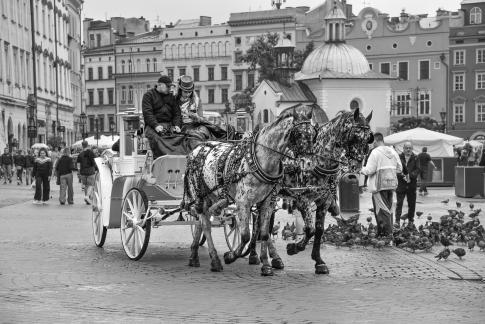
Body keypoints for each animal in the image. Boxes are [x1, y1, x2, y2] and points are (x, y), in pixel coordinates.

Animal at [181, 109, 314, 276]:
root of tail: (197, 148)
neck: (261, 160)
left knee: (200, 221)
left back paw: (194, 256)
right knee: (205, 224)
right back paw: (215, 260)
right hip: (199, 196)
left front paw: (267, 265)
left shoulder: (269, 202)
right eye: (298, 133)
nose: (308, 163)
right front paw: (231, 256)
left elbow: (264, 233)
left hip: (210, 196)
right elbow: (245, 235)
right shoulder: (243, 202)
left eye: (313, 133)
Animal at [246, 108, 374, 274]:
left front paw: (319, 261)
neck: (319, 161)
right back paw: (254, 255)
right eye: (355, 135)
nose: (357, 166)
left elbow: (319, 230)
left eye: (369, 137)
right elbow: (310, 229)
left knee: (265, 225)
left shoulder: (324, 201)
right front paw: (294, 248)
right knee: (257, 223)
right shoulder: (303, 200)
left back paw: (274, 258)